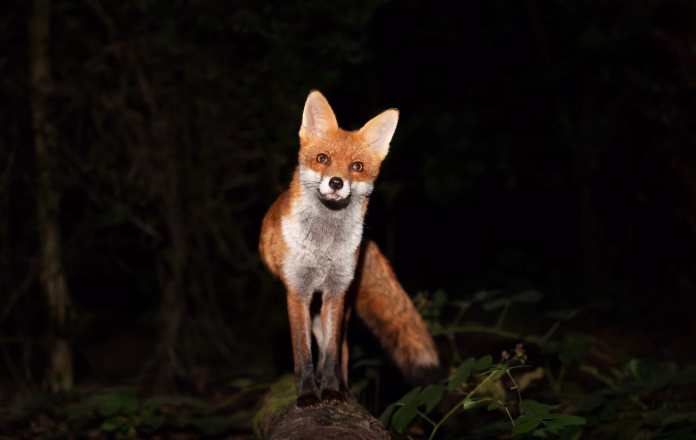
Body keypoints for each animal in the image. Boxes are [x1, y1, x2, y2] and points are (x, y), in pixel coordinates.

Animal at [259, 90, 442, 408]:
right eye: (323, 159)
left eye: (356, 166)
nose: (336, 182)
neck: (323, 247)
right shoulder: (297, 292)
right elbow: (302, 356)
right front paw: (308, 395)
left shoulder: (336, 291)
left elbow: (332, 354)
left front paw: (332, 391)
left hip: (342, 305)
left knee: (340, 349)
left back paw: (342, 388)